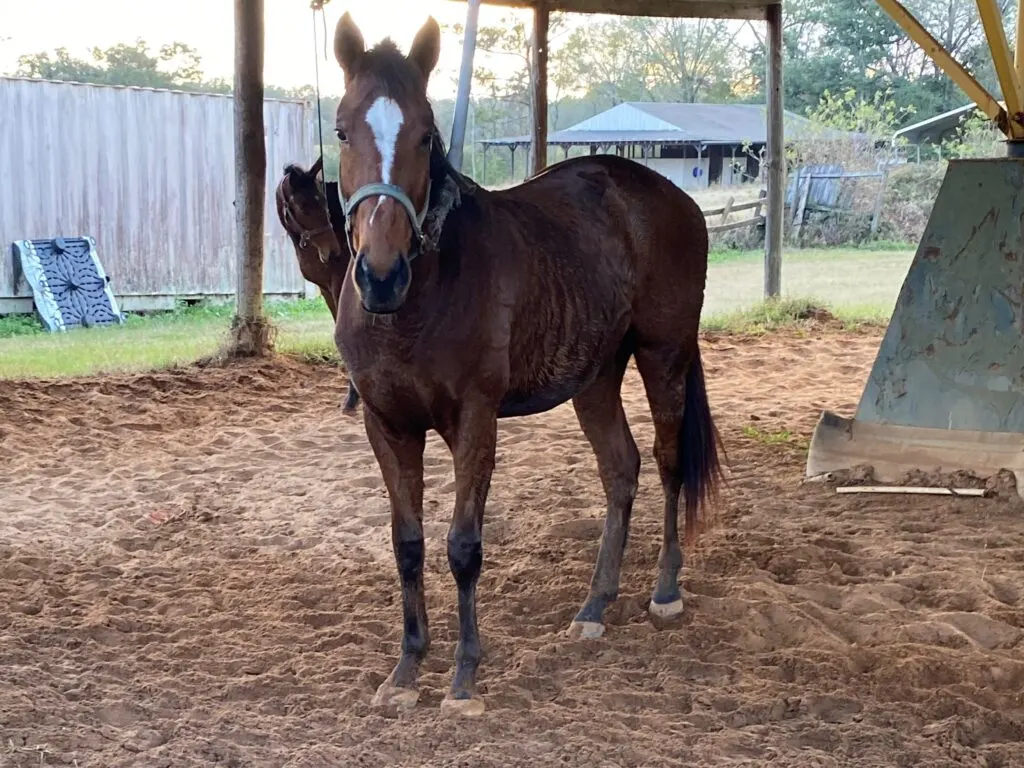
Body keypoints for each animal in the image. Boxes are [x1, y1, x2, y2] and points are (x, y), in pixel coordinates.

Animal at [276, 157, 360, 415]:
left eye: (322, 200)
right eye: (303, 205)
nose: (332, 251)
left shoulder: (340, 286)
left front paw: (353, 397)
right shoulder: (326, 290)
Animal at [327, 15, 720, 720]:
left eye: (425, 133)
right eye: (343, 129)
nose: (380, 274)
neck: (417, 303)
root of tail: (670, 196)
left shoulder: (475, 422)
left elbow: (463, 547)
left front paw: (463, 678)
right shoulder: (386, 424)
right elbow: (407, 544)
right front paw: (406, 670)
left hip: (664, 353)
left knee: (669, 461)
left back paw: (665, 592)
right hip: (596, 375)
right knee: (621, 469)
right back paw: (595, 605)